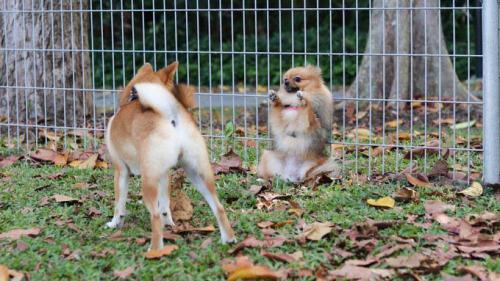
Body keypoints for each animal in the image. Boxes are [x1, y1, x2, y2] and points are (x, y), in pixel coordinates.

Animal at [105, 61, 236, 249]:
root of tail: (170, 116)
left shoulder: (121, 171)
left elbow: (119, 205)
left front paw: (115, 223)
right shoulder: (164, 174)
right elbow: (165, 207)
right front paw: (169, 224)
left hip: (148, 181)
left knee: (154, 216)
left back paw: (155, 249)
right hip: (199, 174)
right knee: (218, 207)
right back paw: (228, 239)